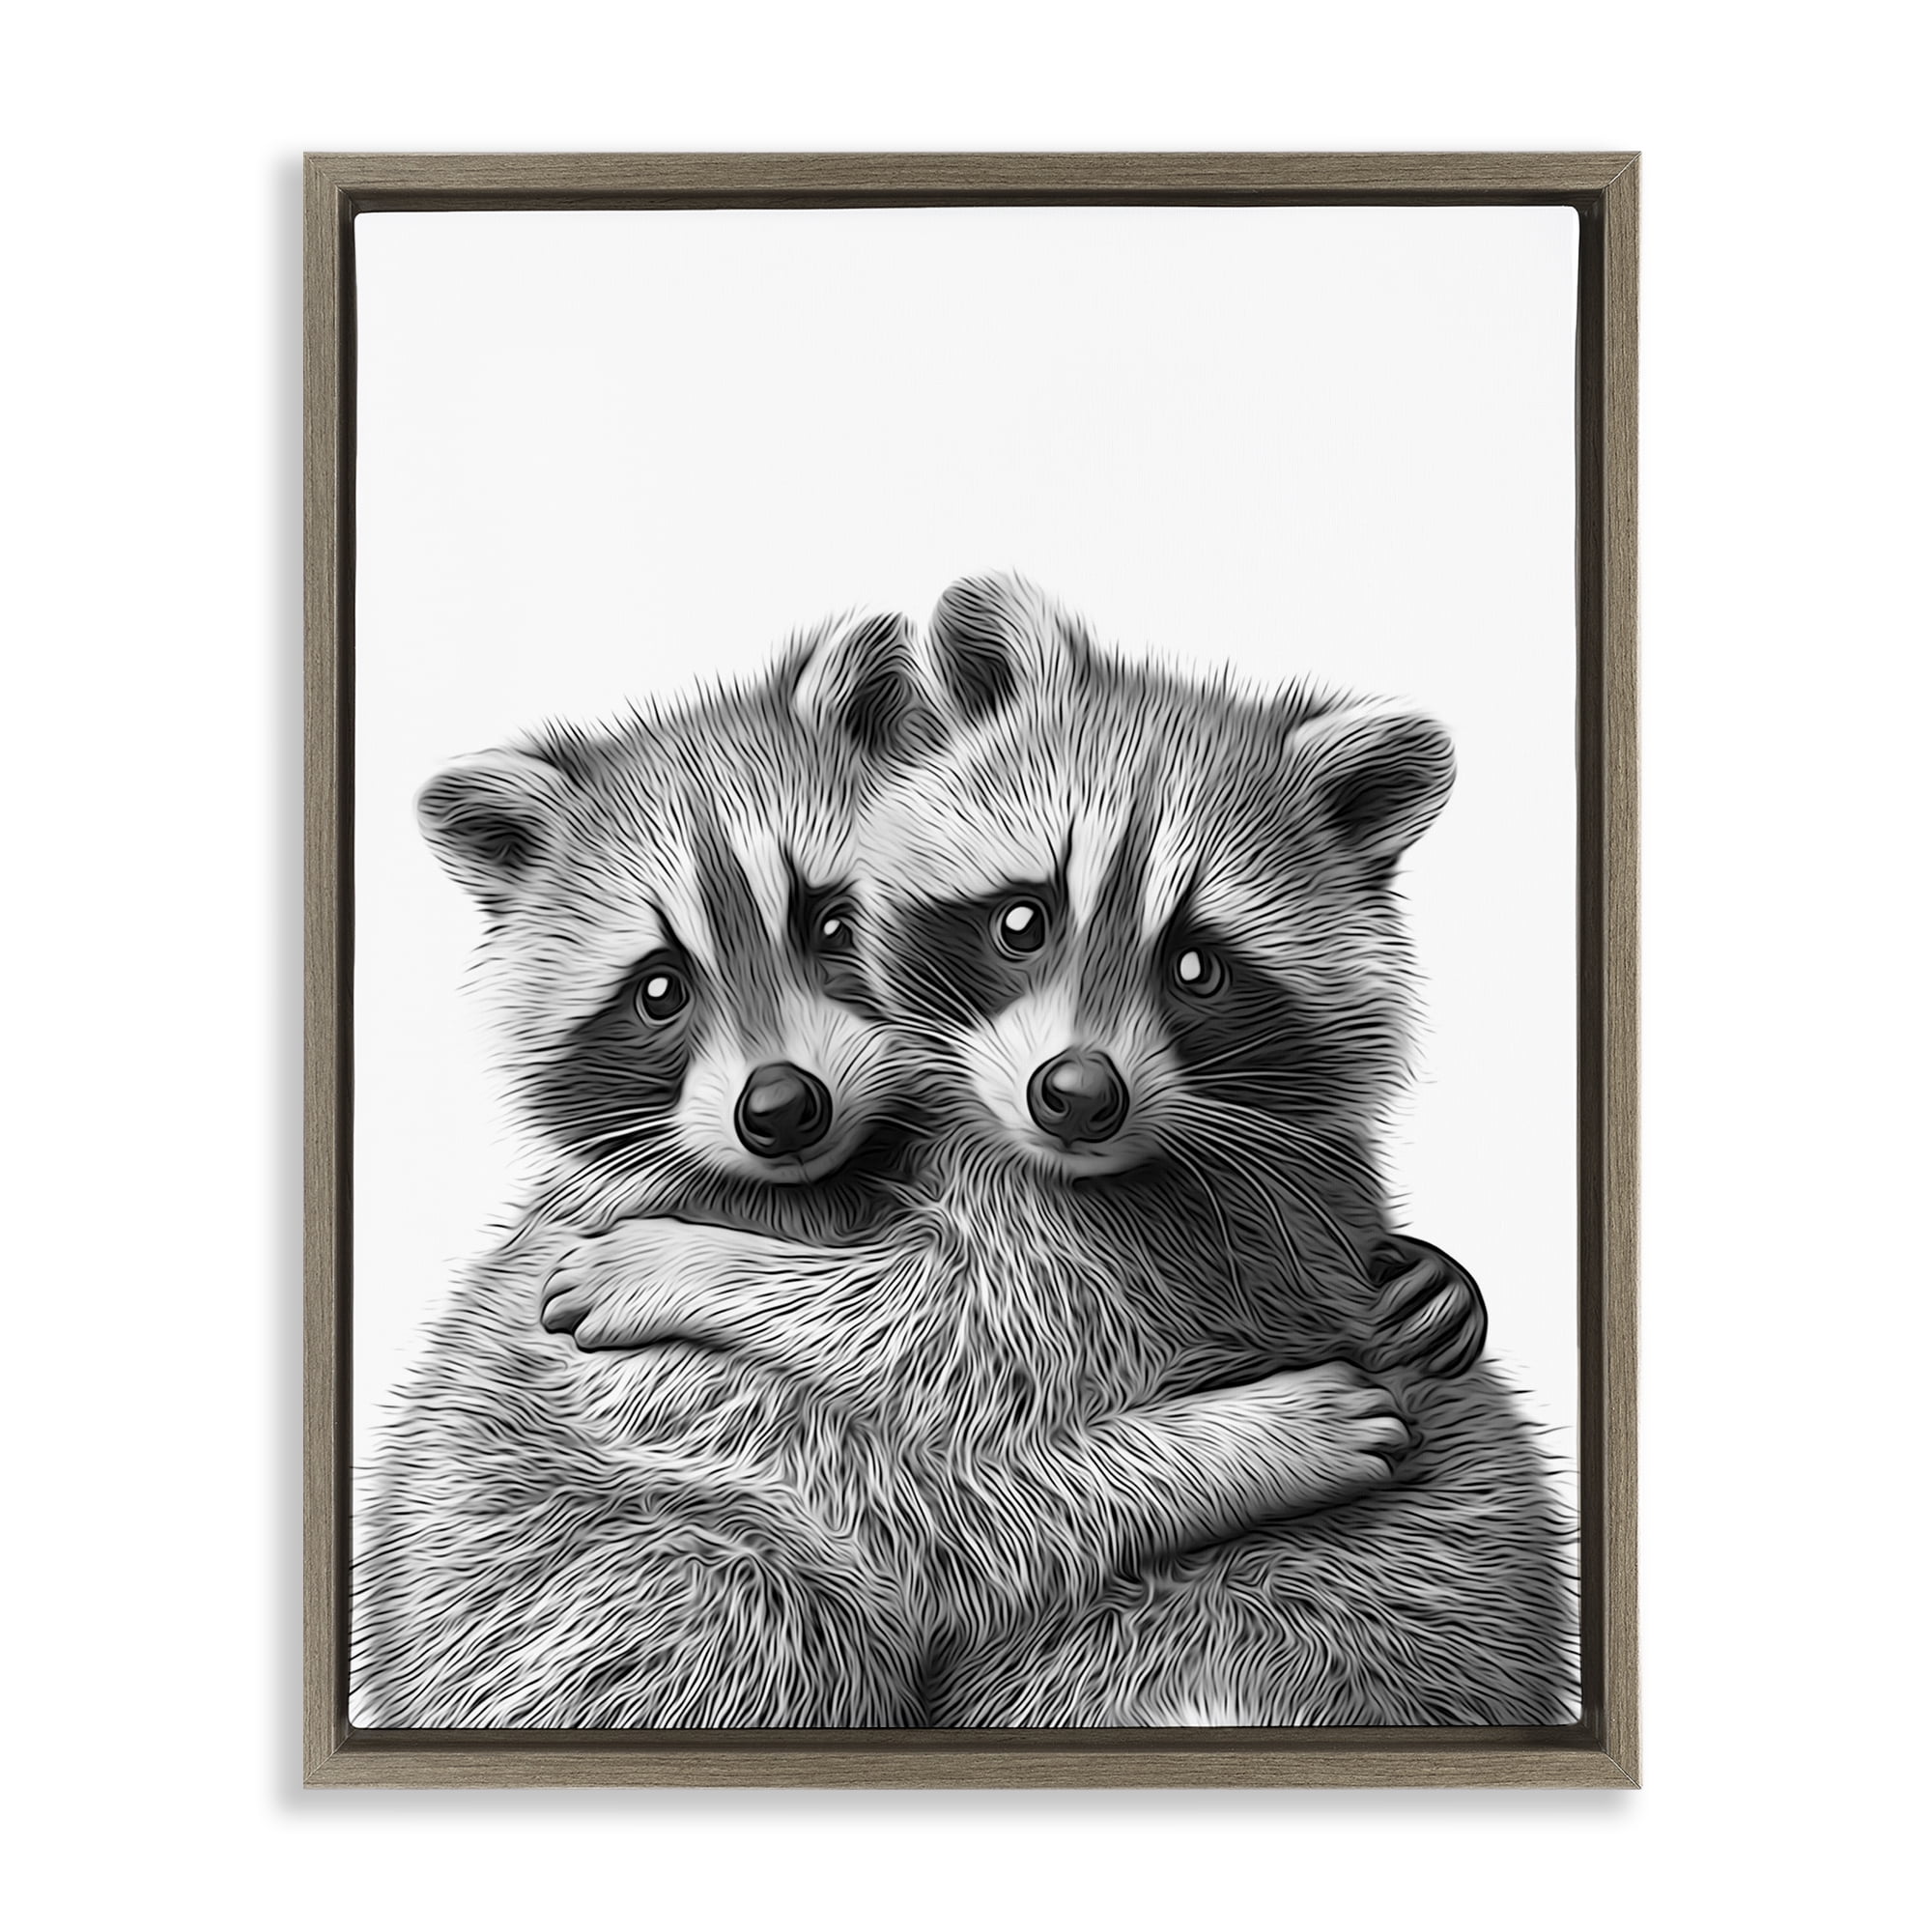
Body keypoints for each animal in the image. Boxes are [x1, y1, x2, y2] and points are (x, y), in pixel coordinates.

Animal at [355, 609, 1419, 1728]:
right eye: (658, 990)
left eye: (831, 925)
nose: (781, 1108)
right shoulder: (648, 1395)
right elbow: (931, 1518)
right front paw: (1244, 1444)